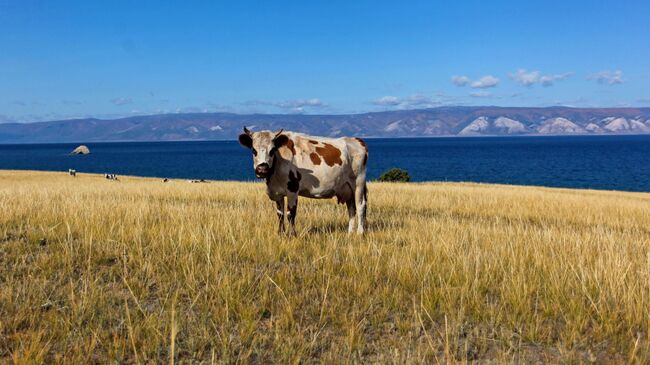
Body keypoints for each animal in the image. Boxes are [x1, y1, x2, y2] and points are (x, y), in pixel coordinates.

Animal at [239, 126, 370, 235]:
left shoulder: (292, 189)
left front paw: (292, 235)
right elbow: (280, 214)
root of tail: (356, 140)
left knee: (360, 206)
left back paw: (360, 233)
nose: (262, 169)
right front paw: (280, 234)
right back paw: (350, 233)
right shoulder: (277, 192)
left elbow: (290, 213)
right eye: (253, 150)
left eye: (272, 150)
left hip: (358, 182)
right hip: (347, 188)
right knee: (351, 208)